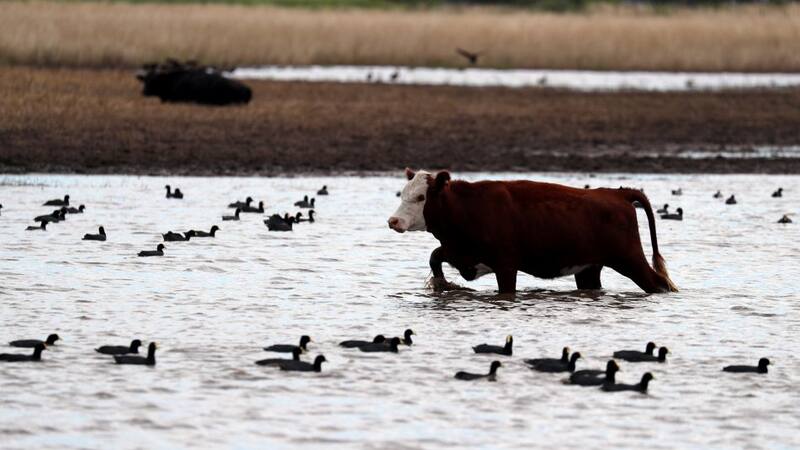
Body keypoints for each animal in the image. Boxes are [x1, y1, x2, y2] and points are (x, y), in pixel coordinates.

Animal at [388, 169, 678, 294]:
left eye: (421, 197)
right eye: (404, 193)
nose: (394, 221)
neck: (466, 207)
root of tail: (617, 194)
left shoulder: (506, 266)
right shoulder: (461, 252)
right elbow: (435, 257)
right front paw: (441, 284)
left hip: (629, 259)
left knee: (659, 283)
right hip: (588, 268)